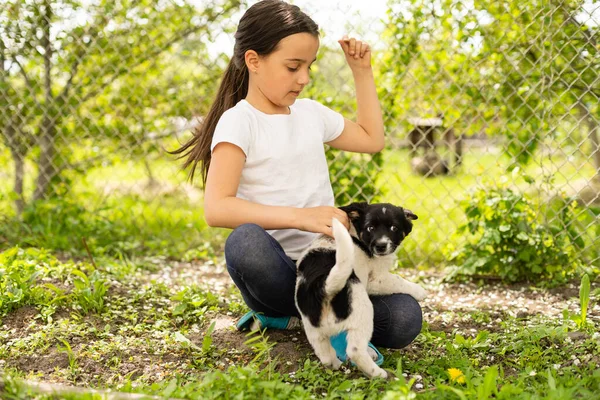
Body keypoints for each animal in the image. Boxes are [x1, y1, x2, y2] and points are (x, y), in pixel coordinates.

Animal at [292, 203, 424, 378]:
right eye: (370, 228)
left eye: (394, 228)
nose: (381, 246)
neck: (355, 235)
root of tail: (324, 286)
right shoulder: (375, 279)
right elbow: (397, 279)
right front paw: (420, 291)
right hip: (363, 309)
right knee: (355, 350)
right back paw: (378, 373)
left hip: (313, 328)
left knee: (325, 354)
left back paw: (336, 363)